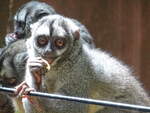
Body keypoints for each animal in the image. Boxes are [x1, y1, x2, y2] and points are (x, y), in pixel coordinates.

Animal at [13, 14, 149, 113]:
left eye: (59, 42)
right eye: (42, 40)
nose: (48, 51)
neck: (59, 65)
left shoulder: (79, 73)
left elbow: (73, 107)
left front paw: (36, 96)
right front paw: (33, 78)